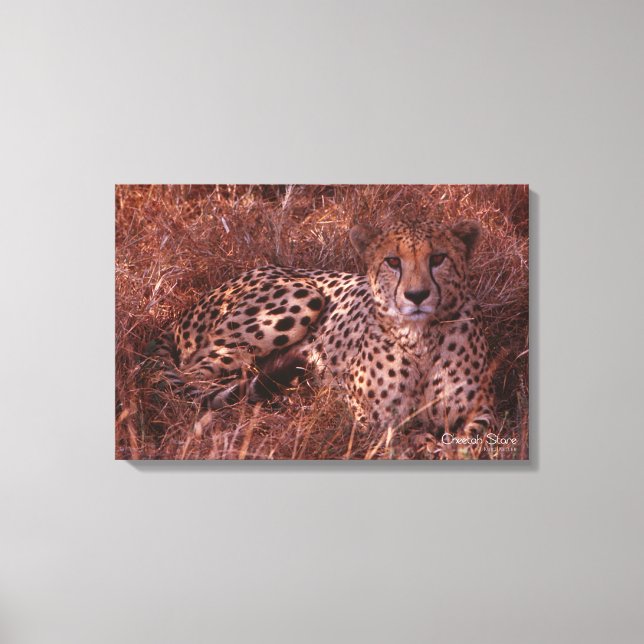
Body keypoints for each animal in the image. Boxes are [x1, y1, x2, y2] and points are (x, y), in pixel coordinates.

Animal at [150, 217, 496, 435]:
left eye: (438, 258)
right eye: (393, 261)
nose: (417, 295)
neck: (420, 338)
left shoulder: (484, 411)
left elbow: (470, 439)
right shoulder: (369, 416)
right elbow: (407, 438)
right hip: (303, 296)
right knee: (192, 378)